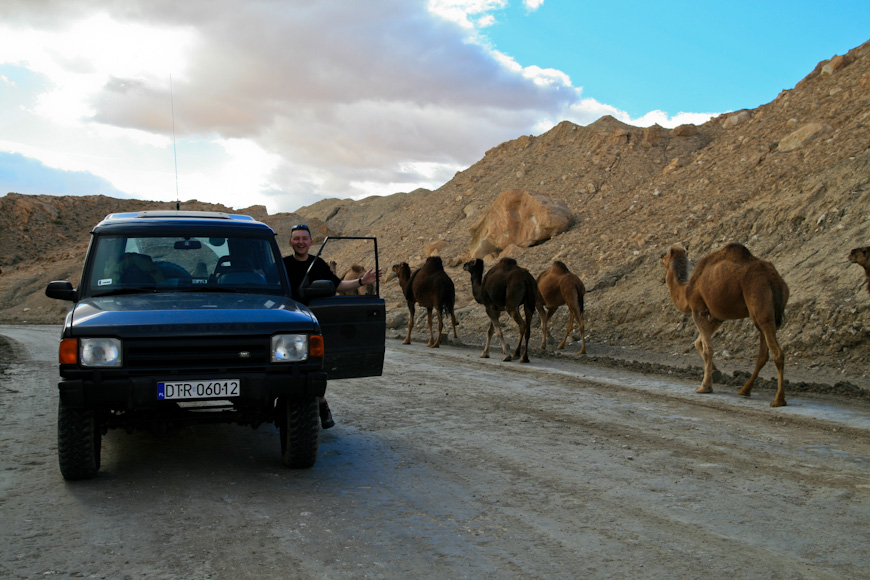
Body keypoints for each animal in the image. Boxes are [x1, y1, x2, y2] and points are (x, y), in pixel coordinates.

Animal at [660, 243, 789, 407]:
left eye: (665, 253)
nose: (659, 256)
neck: (686, 289)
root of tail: (774, 280)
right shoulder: (717, 316)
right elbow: (699, 343)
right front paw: (715, 373)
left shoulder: (698, 309)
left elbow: (708, 348)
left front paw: (705, 387)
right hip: (769, 315)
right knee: (763, 353)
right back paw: (745, 390)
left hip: (760, 303)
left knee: (777, 352)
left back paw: (778, 400)